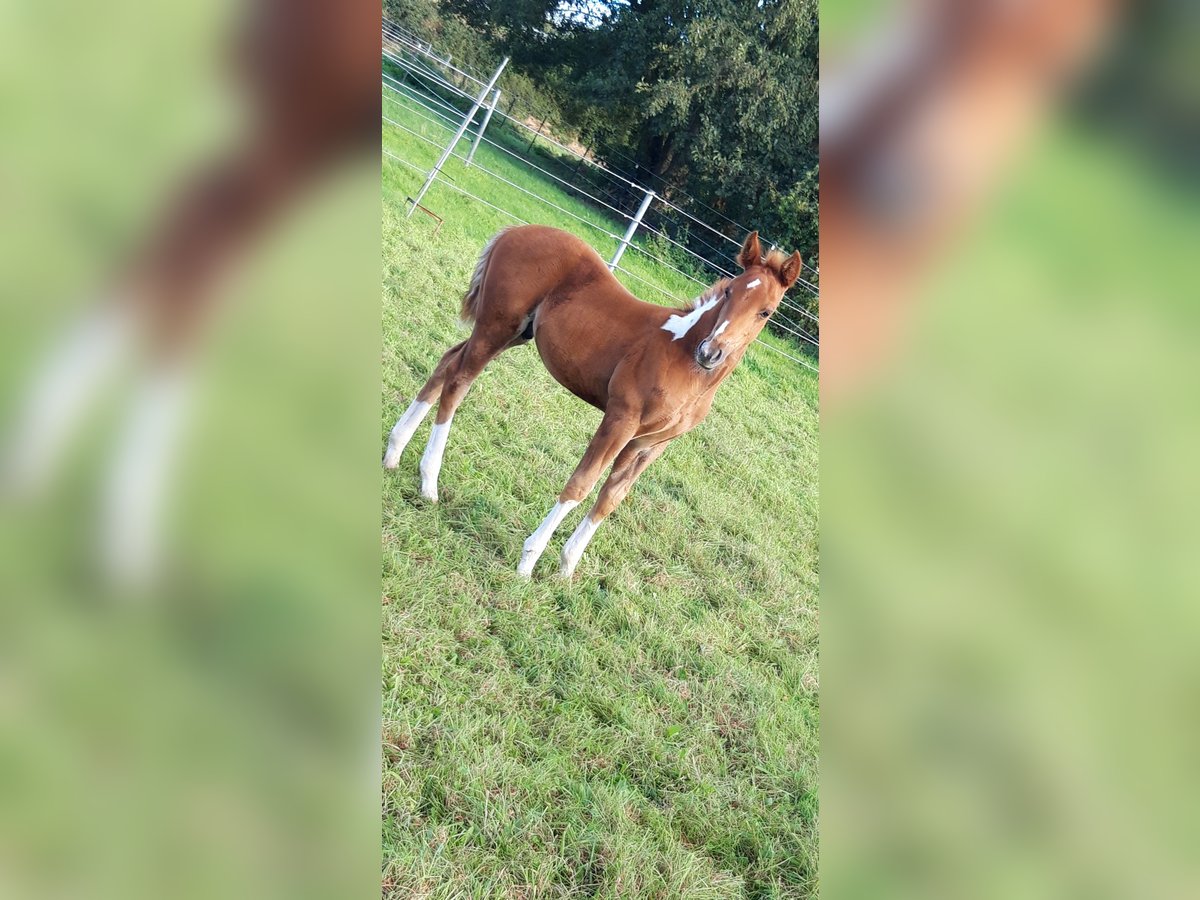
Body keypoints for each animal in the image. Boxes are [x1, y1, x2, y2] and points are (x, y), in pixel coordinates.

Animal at [379, 225, 801, 578]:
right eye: (729, 292)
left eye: (765, 312)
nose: (711, 352)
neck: (682, 358)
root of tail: (515, 230)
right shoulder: (620, 419)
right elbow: (581, 485)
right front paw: (528, 562)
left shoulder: (650, 444)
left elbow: (611, 498)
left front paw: (567, 570)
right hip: (496, 326)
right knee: (457, 382)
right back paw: (429, 482)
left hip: (516, 334)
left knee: (447, 362)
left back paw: (394, 453)